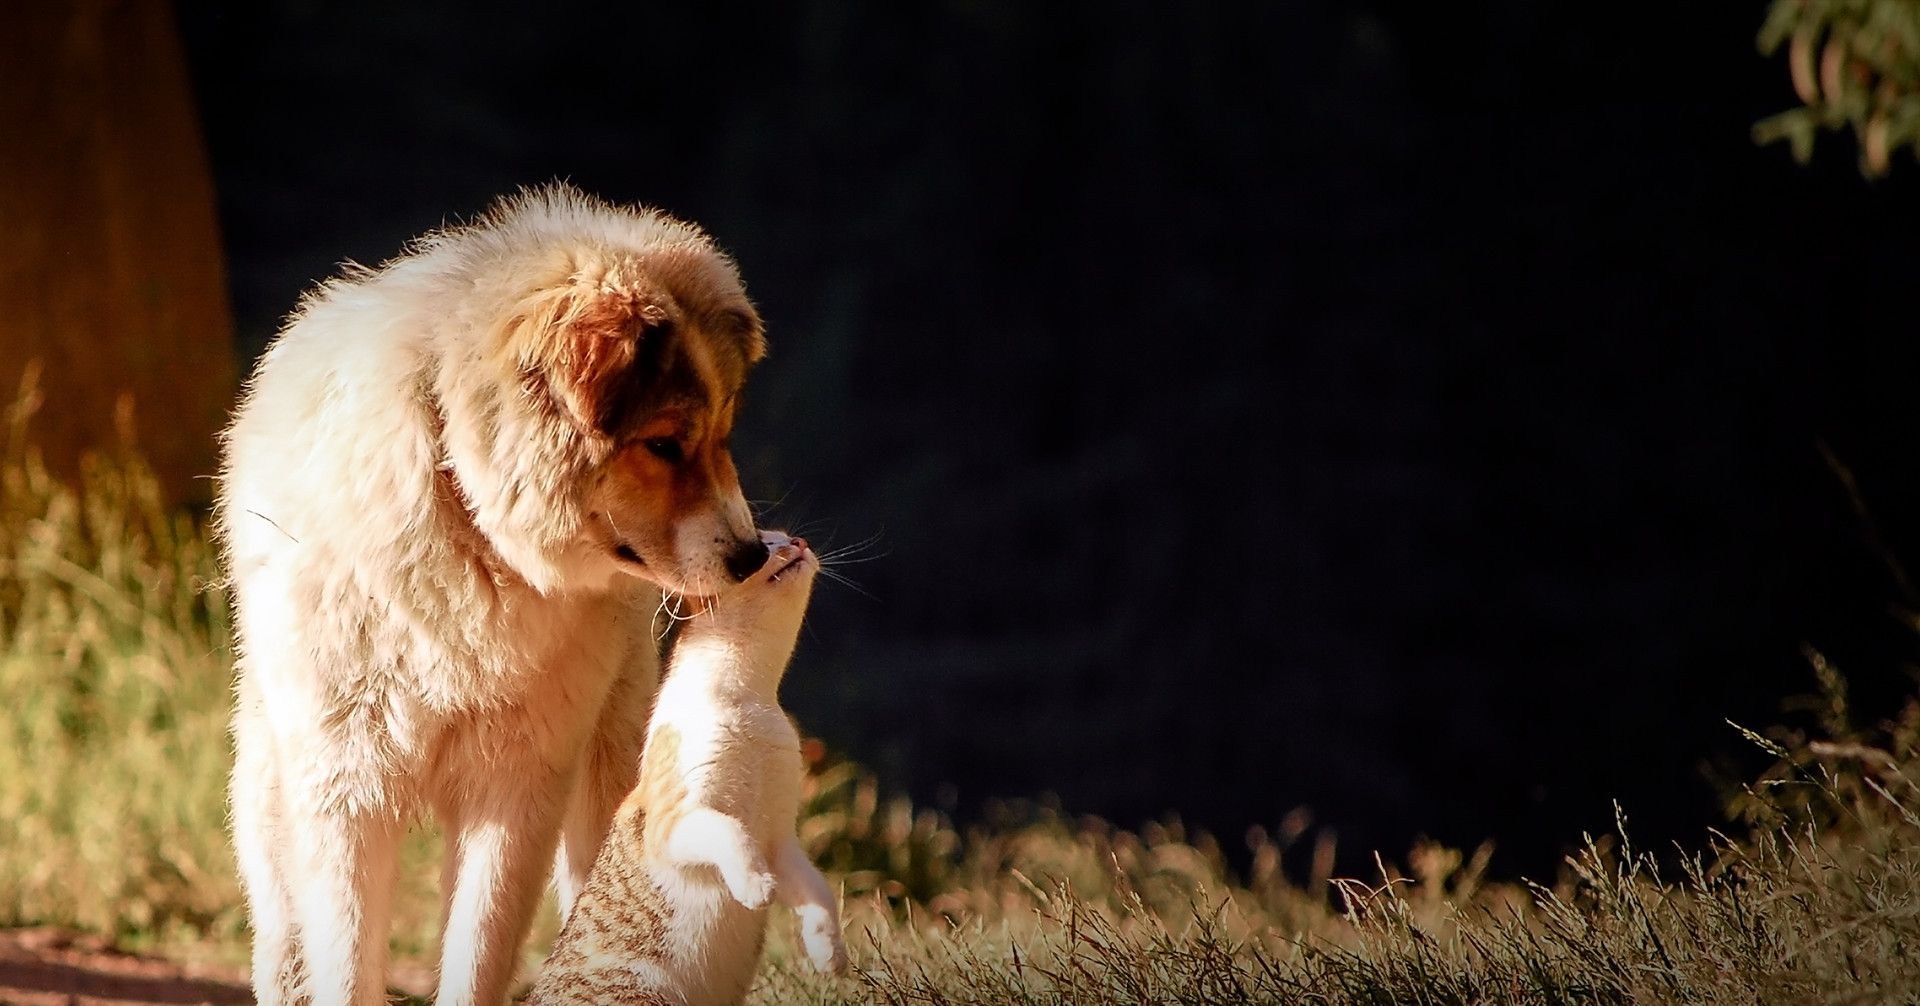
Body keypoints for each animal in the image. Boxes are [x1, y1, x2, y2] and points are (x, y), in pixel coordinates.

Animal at [216, 186, 771, 1006]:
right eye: (666, 444)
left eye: (722, 436)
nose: (752, 556)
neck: (469, 528)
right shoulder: (345, 794)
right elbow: (346, 965)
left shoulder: (515, 791)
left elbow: (476, 957)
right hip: (269, 803)